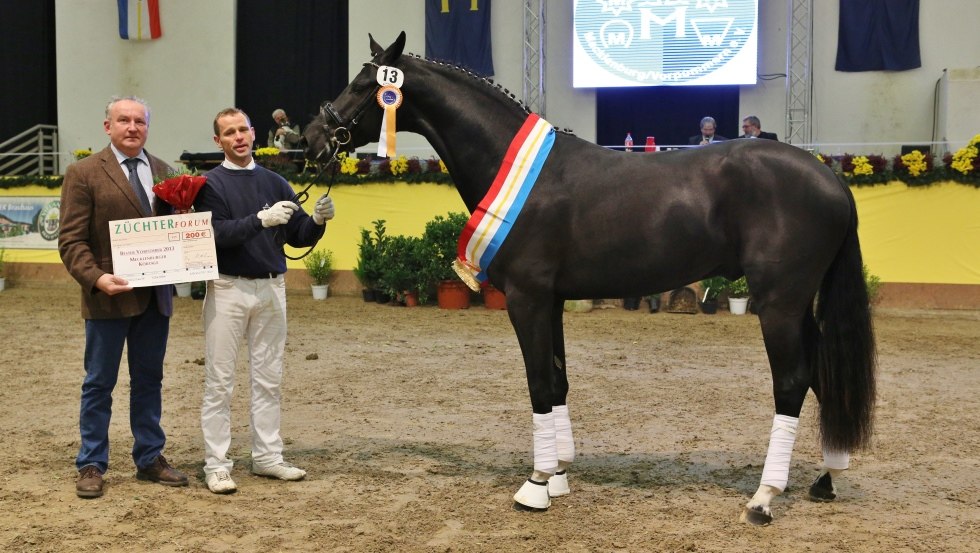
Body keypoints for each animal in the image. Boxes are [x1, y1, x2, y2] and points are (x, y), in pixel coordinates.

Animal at [302, 32, 876, 524]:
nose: (309, 138)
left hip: (780, 303)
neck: (519, 170)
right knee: (822, 375)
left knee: (792, 381)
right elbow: (558, 379)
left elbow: (537, 382)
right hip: (799, 306)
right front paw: (557, 474)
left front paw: (535, 486)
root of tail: (830, 177)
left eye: (364, 85)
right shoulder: (552, 301)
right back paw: (825, 478)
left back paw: (763, 498)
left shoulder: (527, 300)